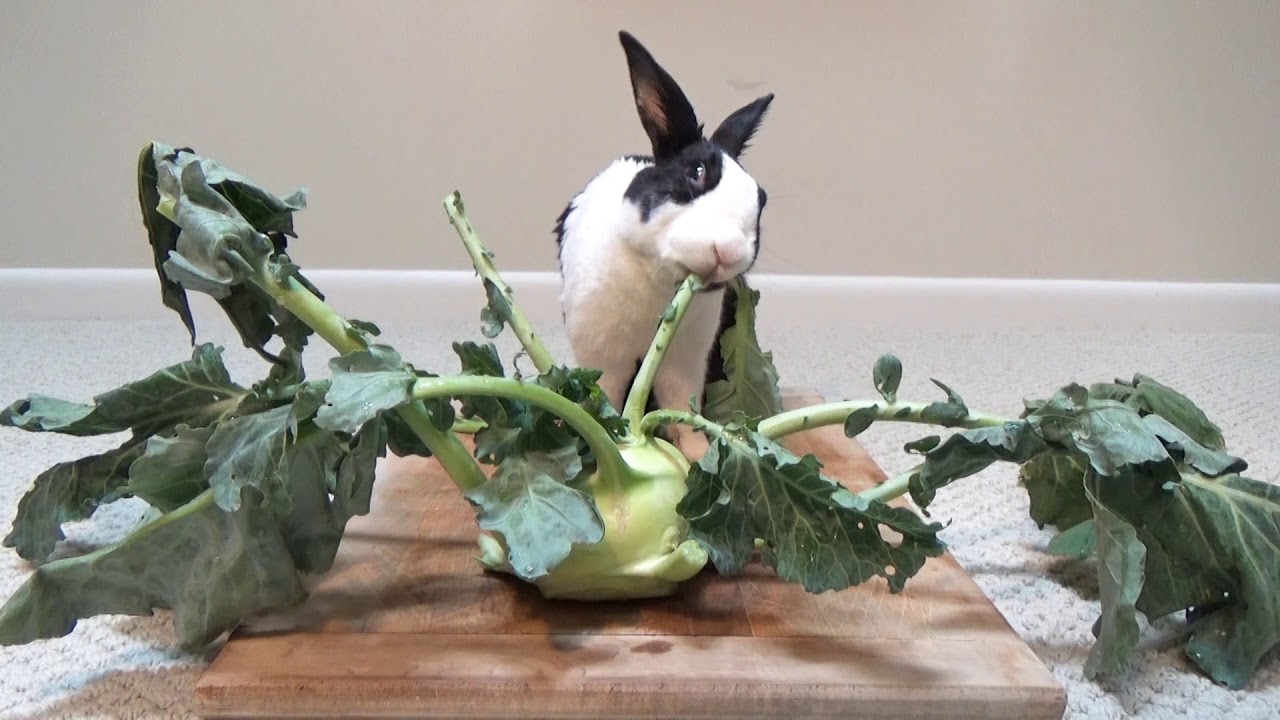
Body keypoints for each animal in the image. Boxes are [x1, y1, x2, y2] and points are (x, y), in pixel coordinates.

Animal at [554, 30, 775, 462]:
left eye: (761, 198)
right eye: (696, 172)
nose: (728, 251)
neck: (657, 280)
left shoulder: (685, 361)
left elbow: (680, 407)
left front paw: (698, 455)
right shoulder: (602, 354)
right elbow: (606, 401)